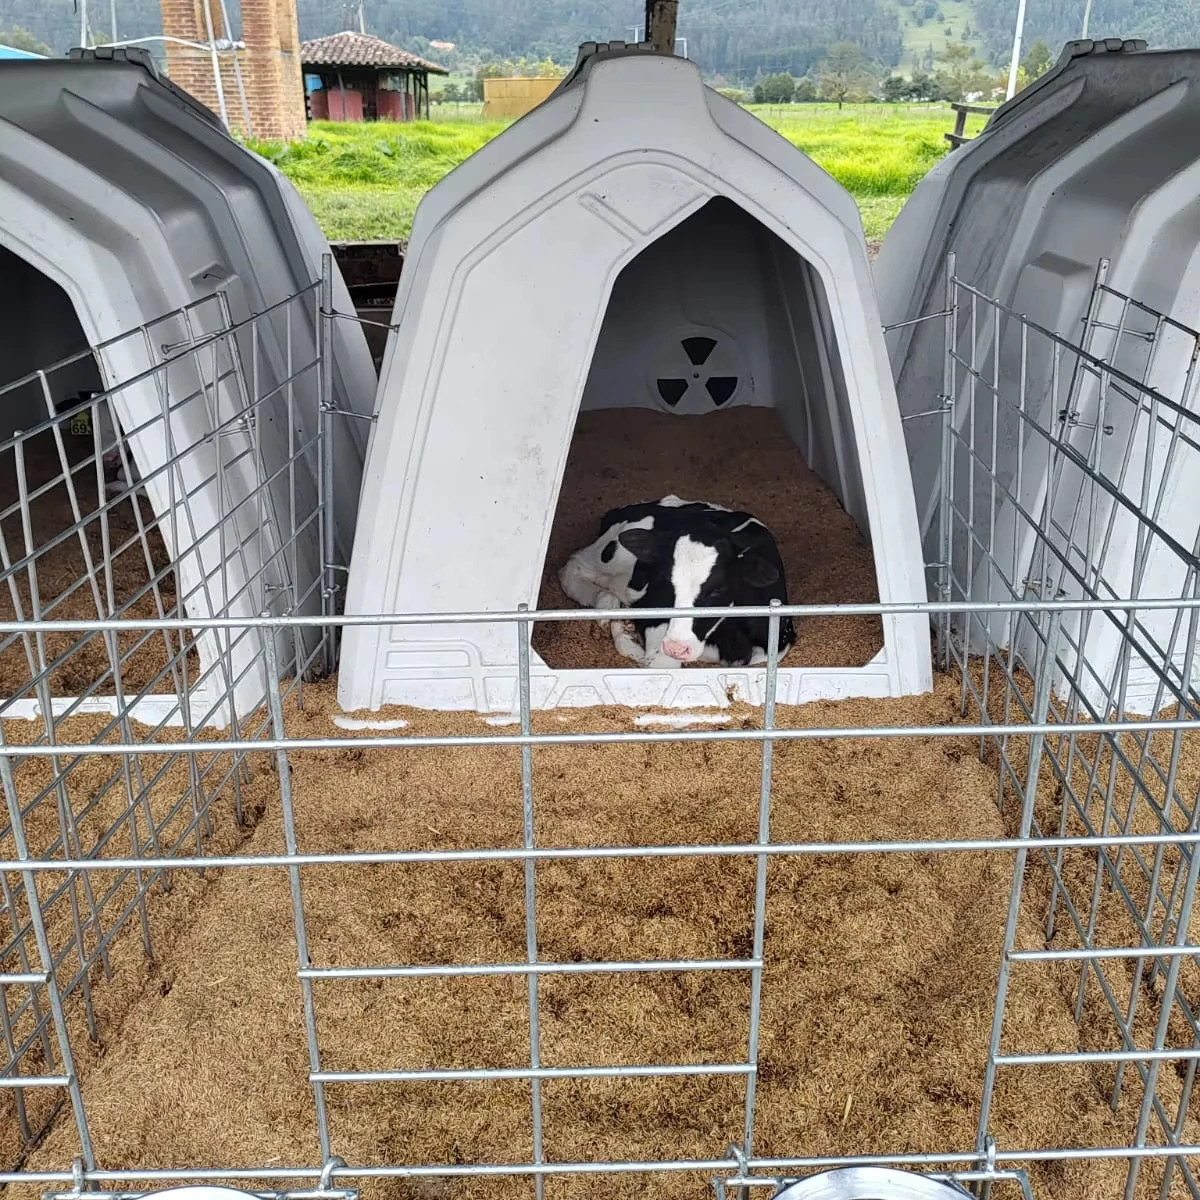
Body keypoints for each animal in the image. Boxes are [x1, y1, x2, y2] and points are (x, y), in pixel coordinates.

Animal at [557, 494, 796, 668]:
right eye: (666, 582)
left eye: (719, 589)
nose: (676, 647)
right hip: (613, 556)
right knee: (572, 569)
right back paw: (606, 603)